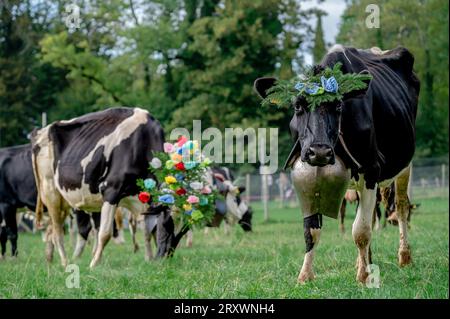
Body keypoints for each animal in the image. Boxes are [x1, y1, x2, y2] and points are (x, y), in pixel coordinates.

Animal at [31, 107, 165, 268]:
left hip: (64, 201)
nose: (166, 256)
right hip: (50, 192)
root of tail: (42, 131)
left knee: (51, 230)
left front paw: (149, 259)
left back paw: (50, 259)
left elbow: (146, 231)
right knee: (57, 232)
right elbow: (105, 233)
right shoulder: (111, 191)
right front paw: (94, 264)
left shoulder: (141, 202)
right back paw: (65, 262)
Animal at [255, 45, 420, 284]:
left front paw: (363, 277)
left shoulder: (372, 170)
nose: (319, 152)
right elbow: (311, 230)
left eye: (339, 106)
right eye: (298, 106)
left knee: (400, 207)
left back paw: (404, 257)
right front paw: (305, 275)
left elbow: (361, 230)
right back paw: (364, 261)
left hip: (404, 165)